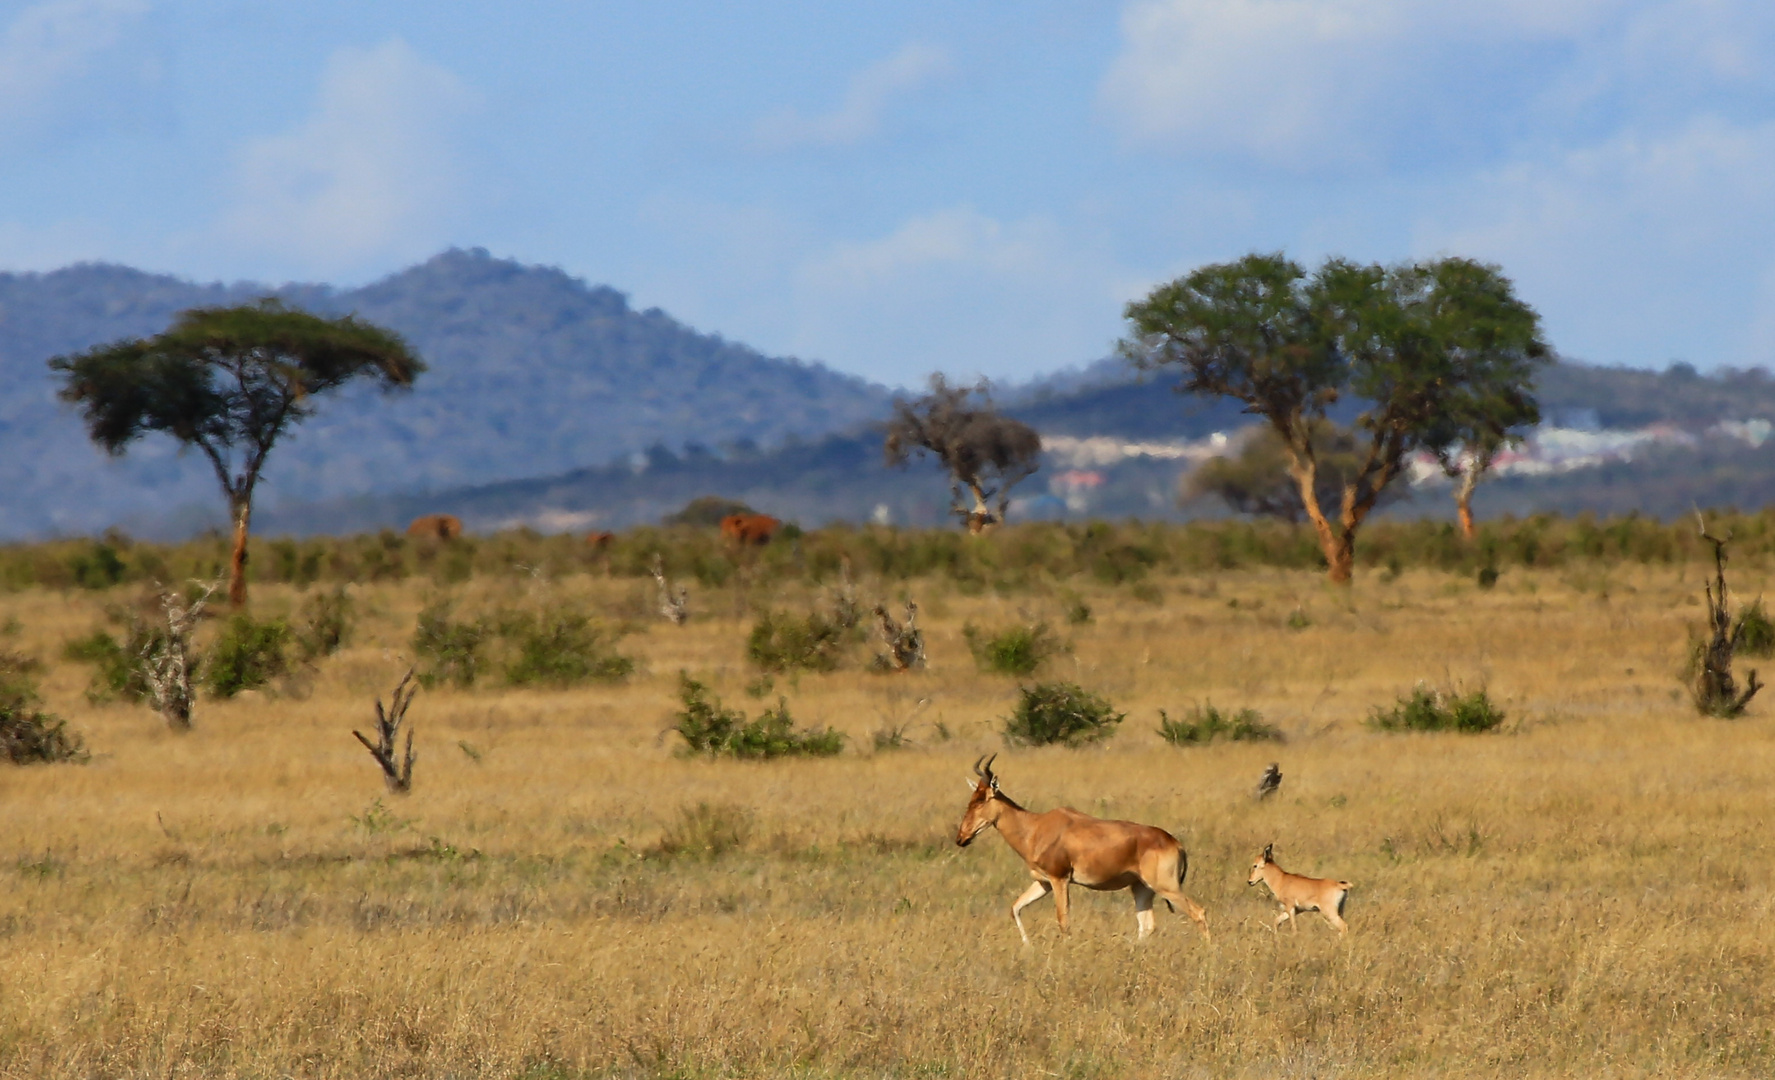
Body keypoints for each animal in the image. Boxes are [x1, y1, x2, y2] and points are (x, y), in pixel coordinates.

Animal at [951, 756, 1214, 937]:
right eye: (971, 799)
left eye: (982, 800)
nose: (961, 838)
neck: (1036, 826)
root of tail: (1175, 842)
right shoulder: (1043, 882)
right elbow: (1016, 908)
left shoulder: (1060, 879)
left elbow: (1063, 920)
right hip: (1142, 887)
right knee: (1147, 925)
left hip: (1166, 886)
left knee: (1198, 912)